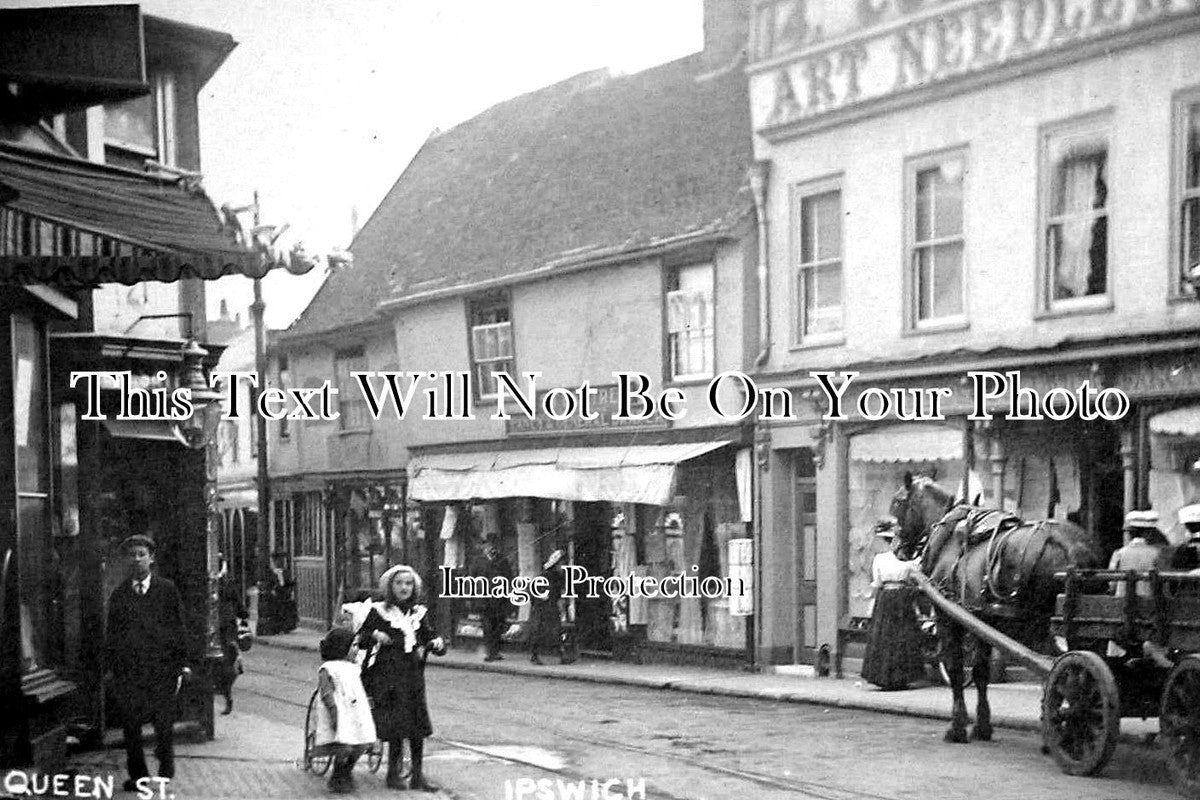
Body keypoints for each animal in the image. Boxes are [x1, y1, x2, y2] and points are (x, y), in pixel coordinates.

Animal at [888, 474, 1099, 743]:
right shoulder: (982, 619)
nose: (897, 546)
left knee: (1057, 673)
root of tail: (1073, 546)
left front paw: (957, 727)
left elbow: (956, 670)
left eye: (898, 502)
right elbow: (980, 672)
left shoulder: (949, 618)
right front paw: (982, 725)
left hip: (1042, 626)